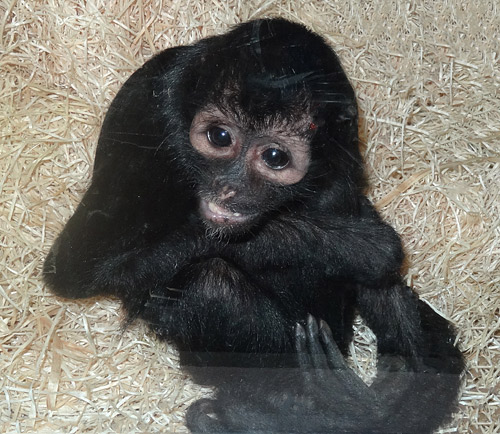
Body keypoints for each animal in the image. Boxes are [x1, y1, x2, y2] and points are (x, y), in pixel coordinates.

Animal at [44, 17, 464, 434]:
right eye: (219, 137)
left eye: (275, 157)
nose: (229, 187)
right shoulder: (147, 109)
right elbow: (77, 270)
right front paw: (351, 246)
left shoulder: (345, 139)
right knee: (211, 281)